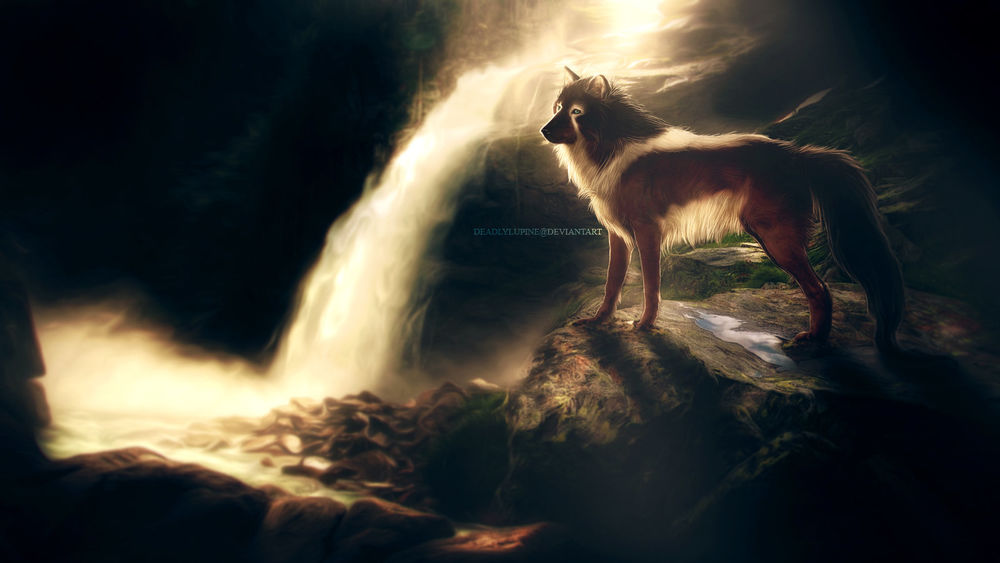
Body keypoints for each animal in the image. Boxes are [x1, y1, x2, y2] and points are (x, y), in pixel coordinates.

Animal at [541, 67, 904, 352]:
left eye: (576, 112)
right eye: (558, 107)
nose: (543, 130)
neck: (611, 148)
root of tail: (796, 153)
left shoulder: (647, 233)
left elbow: (651, 287)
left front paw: (644, 326)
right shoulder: (618, 237)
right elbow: (611, 283)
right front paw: (598, 321)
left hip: (776, 240)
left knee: (820, 289)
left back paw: (814, 340)